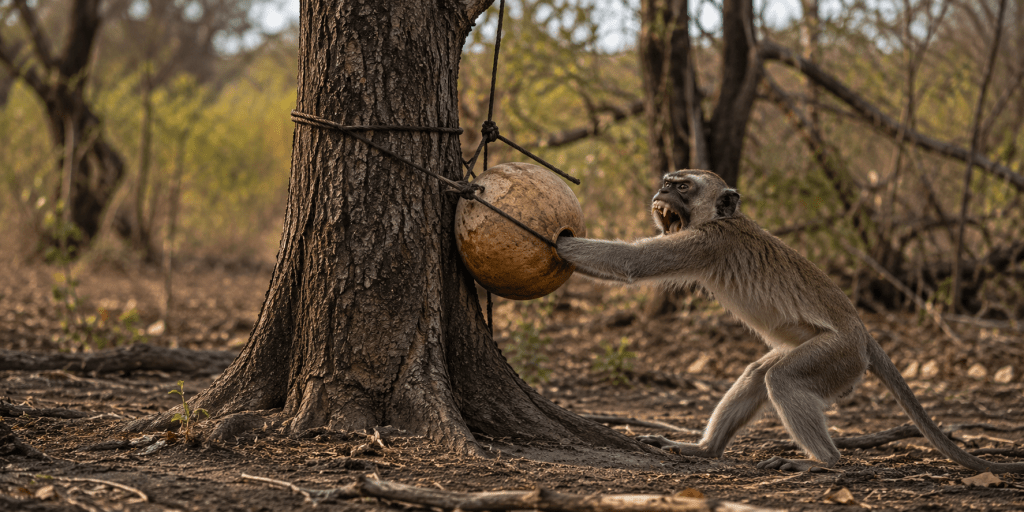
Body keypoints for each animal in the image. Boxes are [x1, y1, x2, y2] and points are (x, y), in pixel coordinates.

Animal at [555, 169, 1024, 473]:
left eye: (682, 188)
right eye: (667, 184)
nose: (662, 195)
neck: (722, 218)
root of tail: (862, 334)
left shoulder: (708, 243)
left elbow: (631, 264)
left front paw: (557, 243)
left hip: (838, 357)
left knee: (781, 378)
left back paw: (825, 464)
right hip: (831, 357)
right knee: (759, 373)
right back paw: (706, 451)